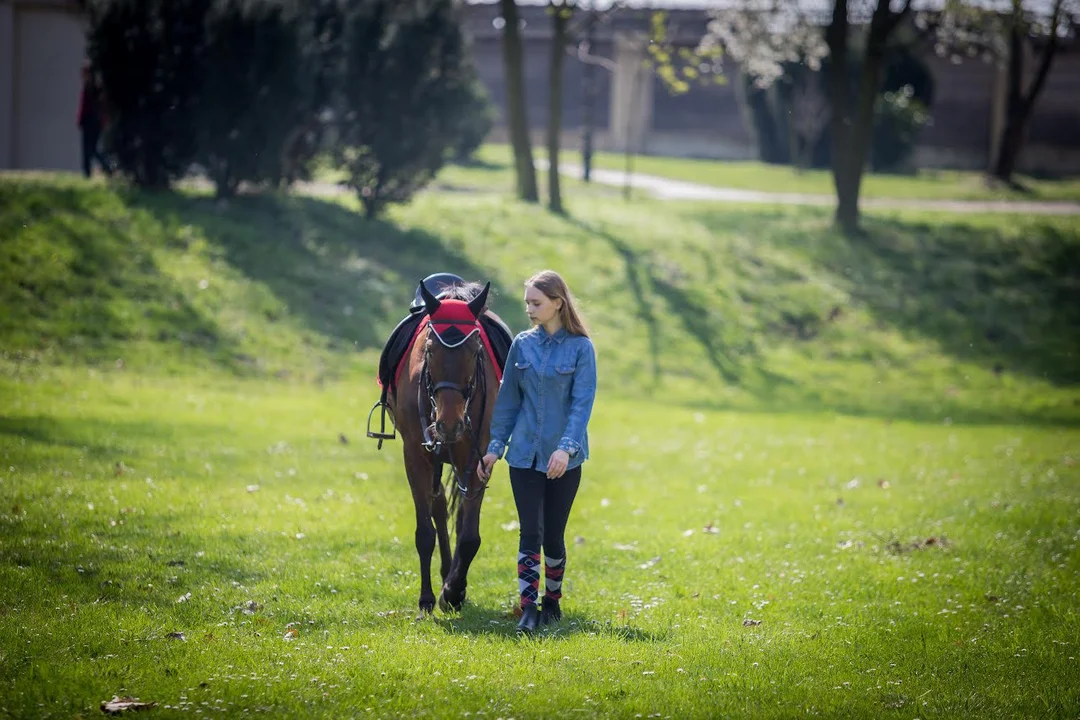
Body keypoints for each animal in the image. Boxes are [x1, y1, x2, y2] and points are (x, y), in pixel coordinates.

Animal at [388, 280, 501, 613]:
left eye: (475, 350)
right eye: (429, 348)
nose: (449, 424)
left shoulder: (478, 457)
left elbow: (469, 535)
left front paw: (453, 590)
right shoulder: (415, 455)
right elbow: (425, 531)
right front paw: (427, 597)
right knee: (437, 507)